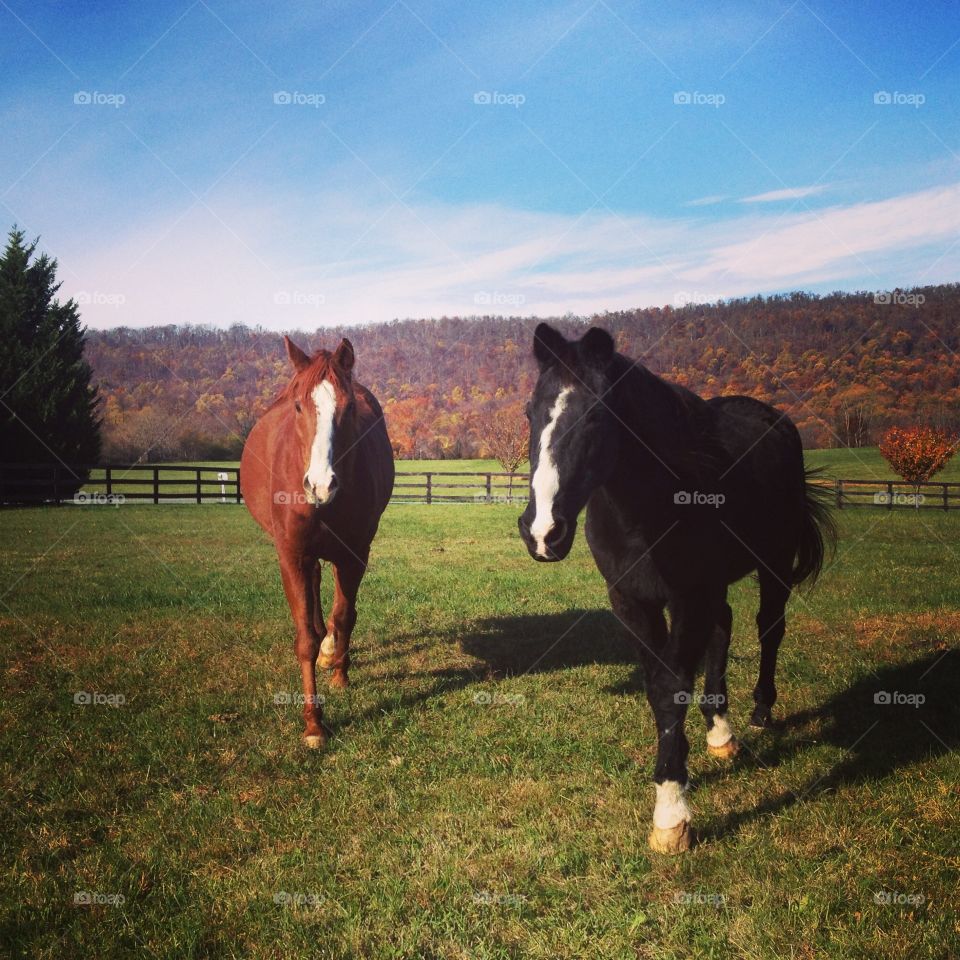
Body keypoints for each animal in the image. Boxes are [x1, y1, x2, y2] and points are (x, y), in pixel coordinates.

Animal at [240, 336, 394, 748]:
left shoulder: (355, 555)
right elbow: (304, 639)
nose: (321, 485)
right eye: (298, 405)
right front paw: (313, 724)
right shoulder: (292, 555)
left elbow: (345, 616)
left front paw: (339, 670)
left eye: (349, 406)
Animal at [517, 323, 834, 854]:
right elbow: (657, 686)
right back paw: (720, 731)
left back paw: (760, 709)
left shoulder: (689, 597)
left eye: (598, 414)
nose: (543, 532)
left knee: (769, 628)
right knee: (724, 630)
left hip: (772, 565)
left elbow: (671, 688)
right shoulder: (633, 601)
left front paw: (671, 813)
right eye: (530, 412)